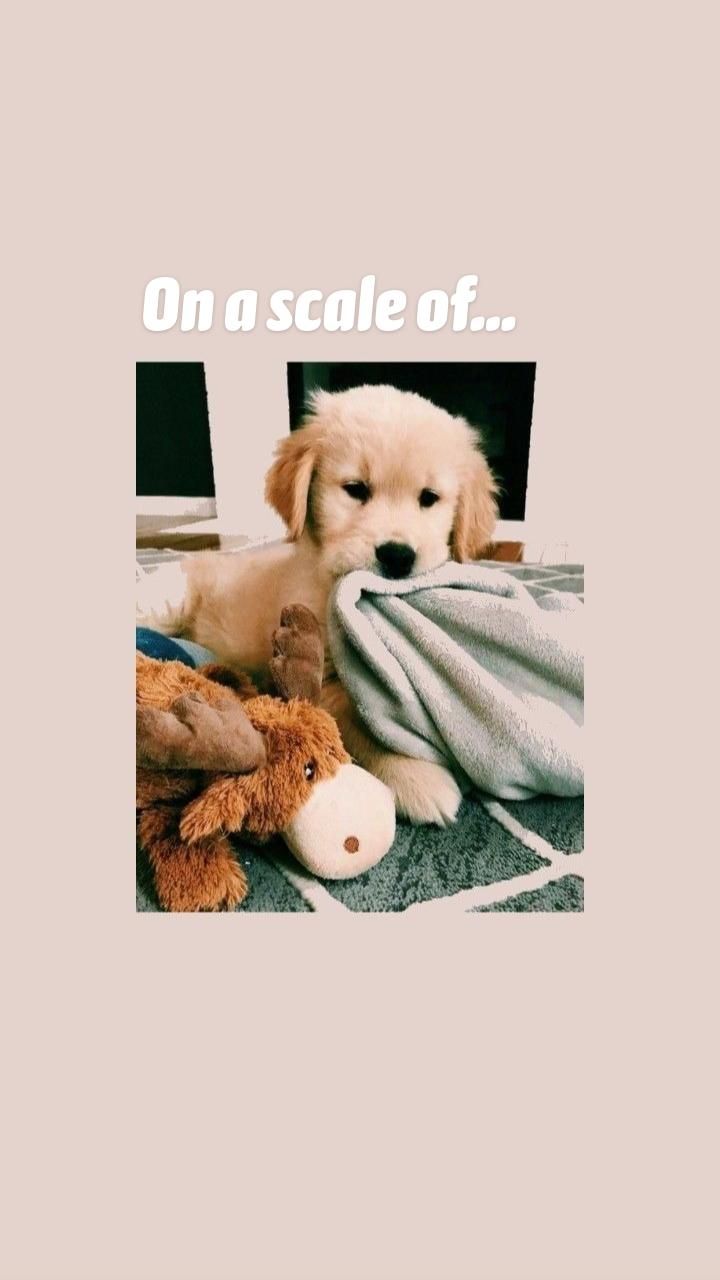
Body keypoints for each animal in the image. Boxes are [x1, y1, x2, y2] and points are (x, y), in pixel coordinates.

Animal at [135, 381, 491, 819]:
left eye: (429, 498)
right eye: (356, 490)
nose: (397, 556)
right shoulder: (322, 676)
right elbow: (359, 722)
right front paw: (416, 774)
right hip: (167, 602)